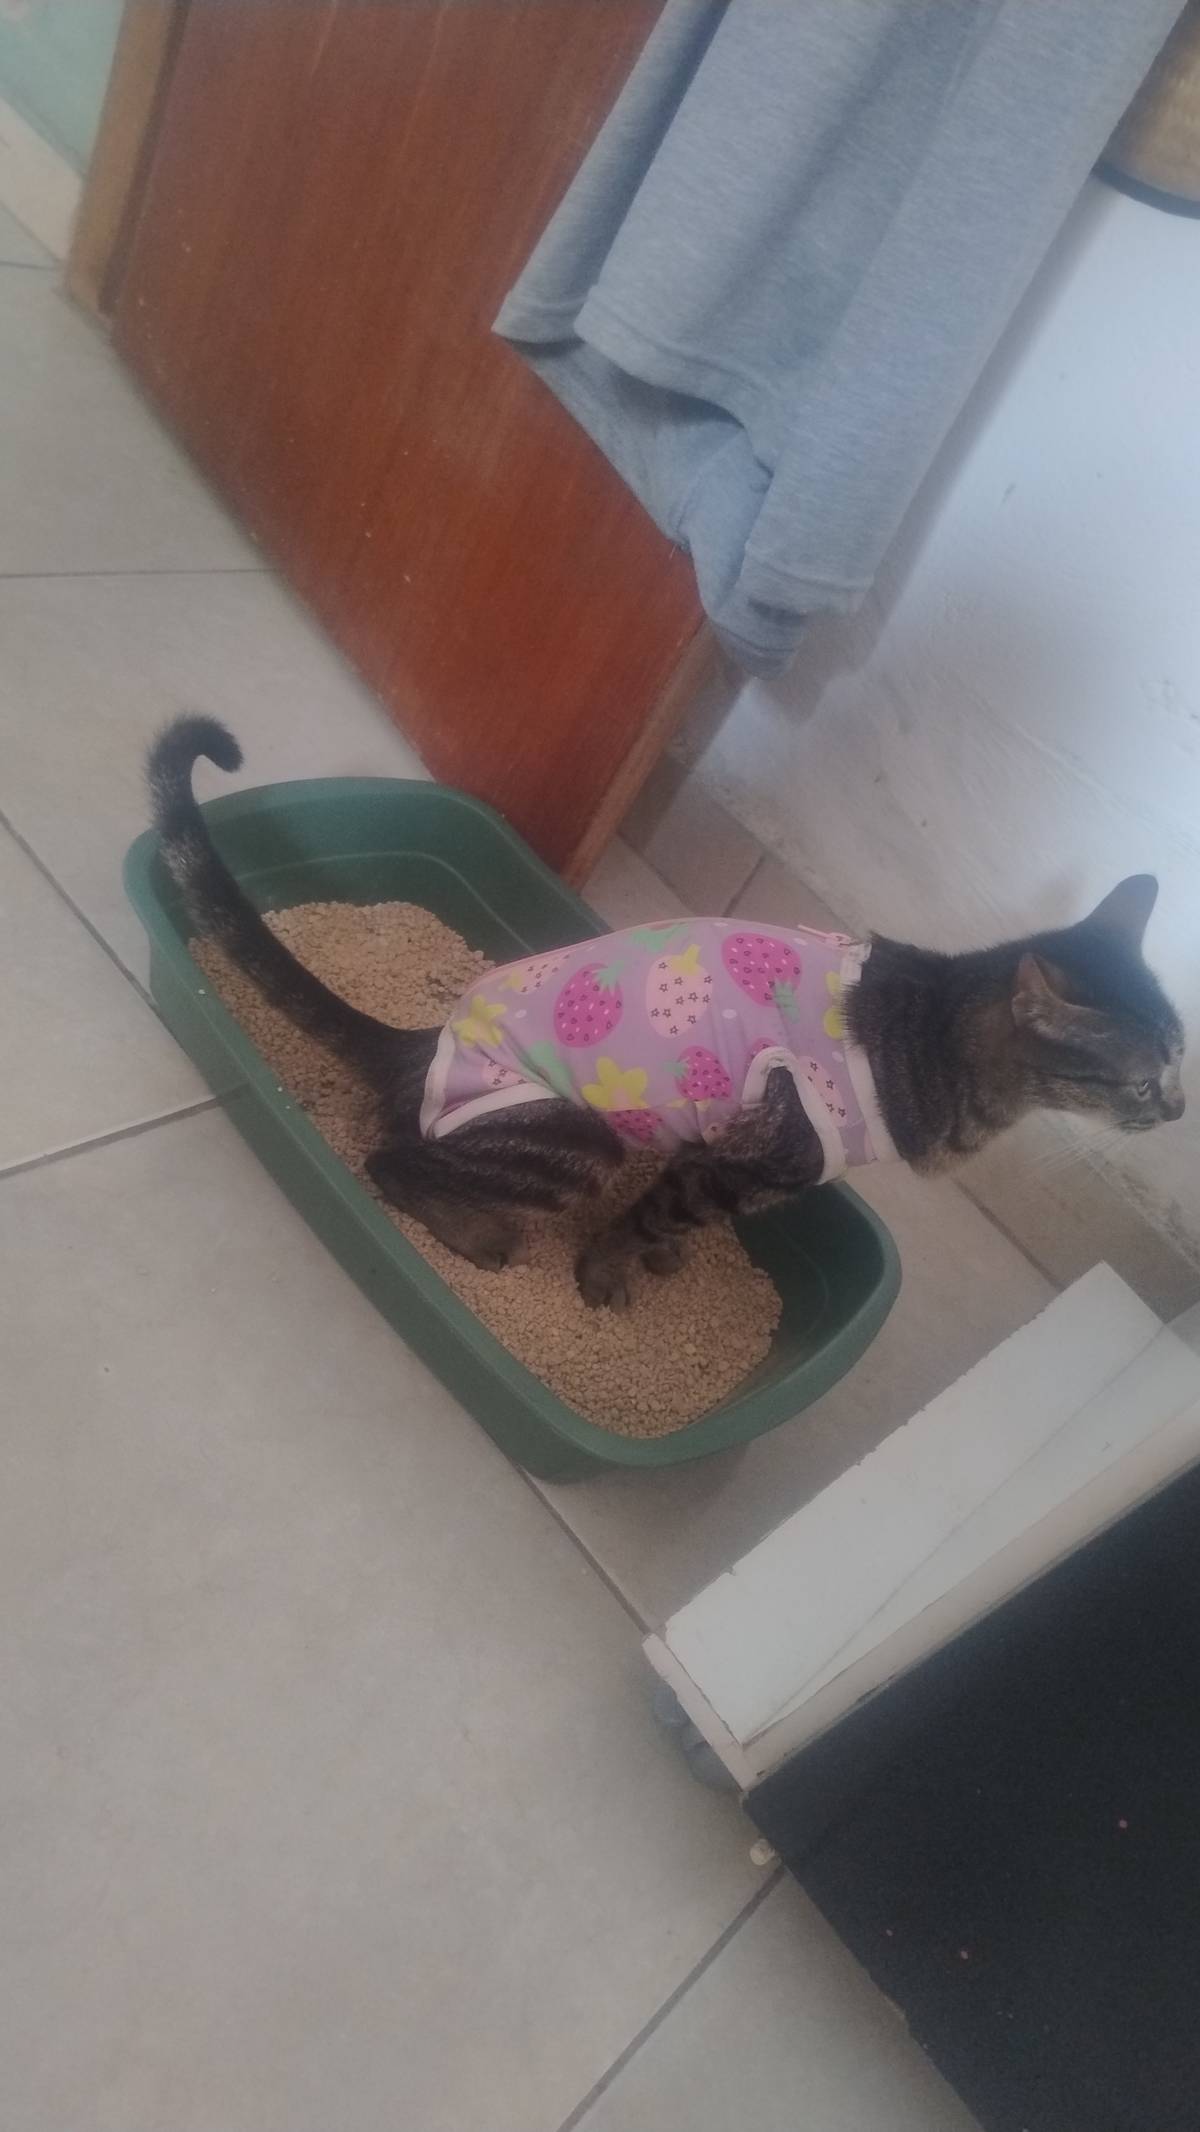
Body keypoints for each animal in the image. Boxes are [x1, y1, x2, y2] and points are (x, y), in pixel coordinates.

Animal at [149, 716, 1185, 1309]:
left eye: (1183, 1060)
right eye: (1145, 1082)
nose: (1179, 1110)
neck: (927, 1038)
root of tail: (417, 1047)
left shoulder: (718, 1148)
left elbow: (676, 1220)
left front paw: (662, 1265)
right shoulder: (754, 1155)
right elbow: (646, 1222)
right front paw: (607, 1277)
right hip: (569, 1140)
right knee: (389, 1163)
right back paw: (477, 1236)